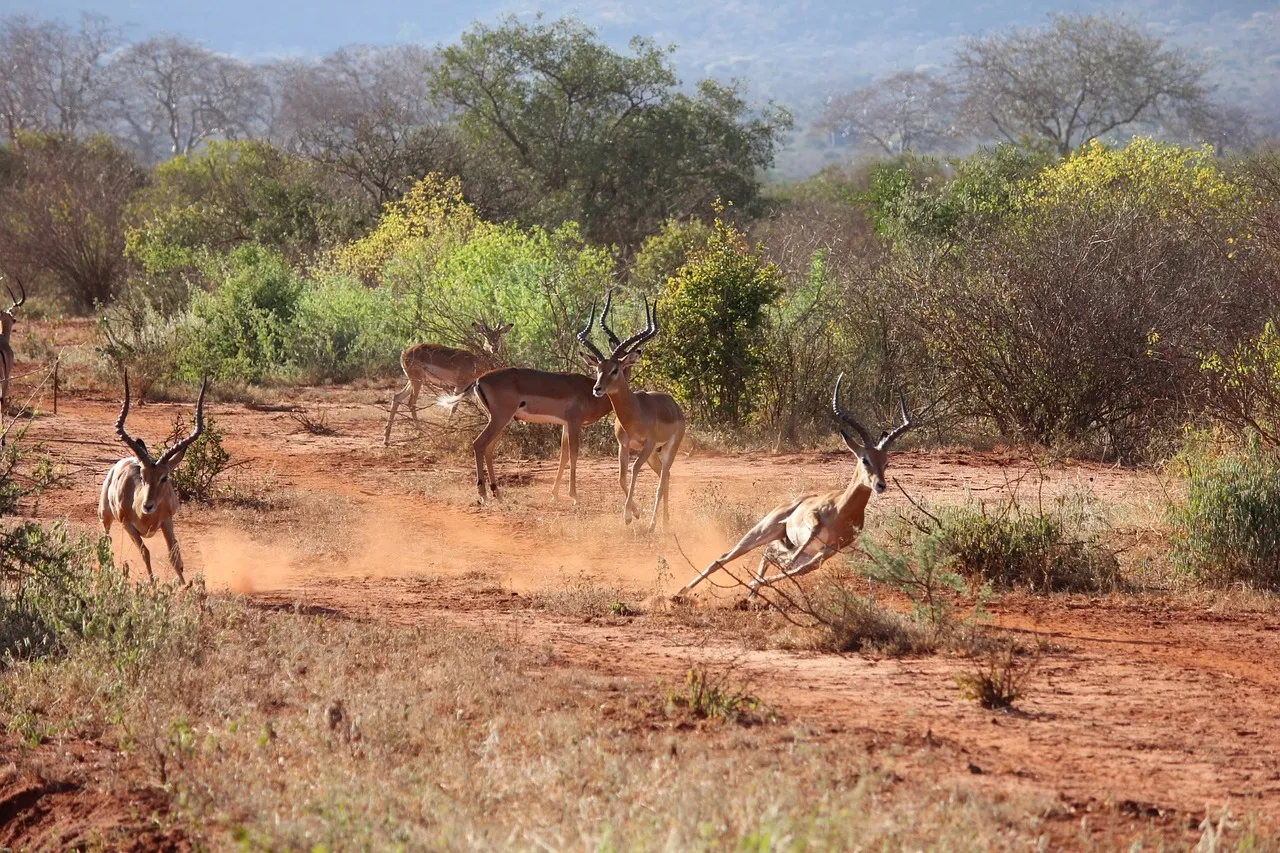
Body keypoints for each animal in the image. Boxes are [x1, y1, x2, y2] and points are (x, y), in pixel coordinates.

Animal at [99, 373, 208, 584]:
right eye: (142, 475)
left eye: (164, 477)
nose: (148, 506)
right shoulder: (128, 525)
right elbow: (145, 552)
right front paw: (152, 585)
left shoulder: (167, 521)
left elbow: (173, 554)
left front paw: (185, 586)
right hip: (105, 517)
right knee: (106, 543)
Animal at [384, 320, 512, 445]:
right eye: (486, 335)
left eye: (498, 335)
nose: (494, 348)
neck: (476, 361)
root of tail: (404, 353)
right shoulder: (460, 385)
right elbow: (453, 407)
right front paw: (447, 432)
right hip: (417, 381)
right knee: (411, 402)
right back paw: (424, 433)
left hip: (413, 381)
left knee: (397, 397)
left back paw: (386, 439)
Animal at [578, 298, 686, 530]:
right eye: (598, 369)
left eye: (615, 370)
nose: (597, 389)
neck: (635, 411)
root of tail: (675, 405)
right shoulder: (624, 445)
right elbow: (621, 477)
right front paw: (634, 513)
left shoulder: (646, 444)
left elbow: (635, 470)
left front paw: (628, 515)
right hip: (654, 454)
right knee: (666, 476)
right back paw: (665, 522)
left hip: (668, 448)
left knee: (663, 480)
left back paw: (654, 525)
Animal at [677, 374, 912, 598]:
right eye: (865, 459)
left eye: (886, 462)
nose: (880, 485)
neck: (842, 510)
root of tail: (791, 502)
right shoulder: (812, 519)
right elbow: (807, 539)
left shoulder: (829, 550)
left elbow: (800, 570)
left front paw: (755, 584)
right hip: (764, 530)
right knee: (727, 556)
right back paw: (680, 593)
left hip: (782, 539)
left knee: (770, 554)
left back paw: (750, 594)